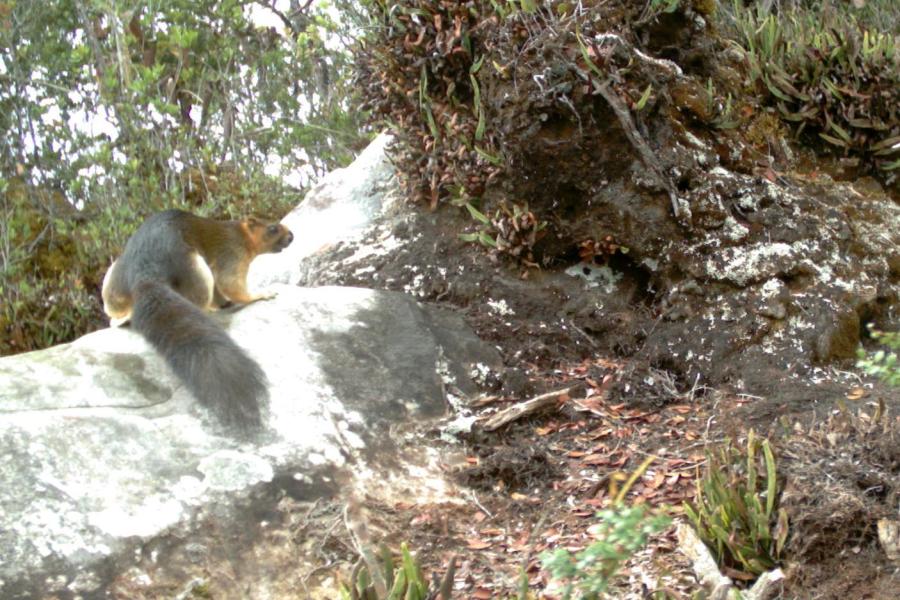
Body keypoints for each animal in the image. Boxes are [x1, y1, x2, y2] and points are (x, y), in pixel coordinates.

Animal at [101, 209, 293, 434]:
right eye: (272, 228)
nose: (292, 236)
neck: (241, 235)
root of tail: (145, 273)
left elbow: (222, 293)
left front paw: (225, 303)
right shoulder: (231, 254)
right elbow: (231, 284)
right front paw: (260, 294)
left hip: (113, 278)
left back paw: (120, 319)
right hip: (196, 270)